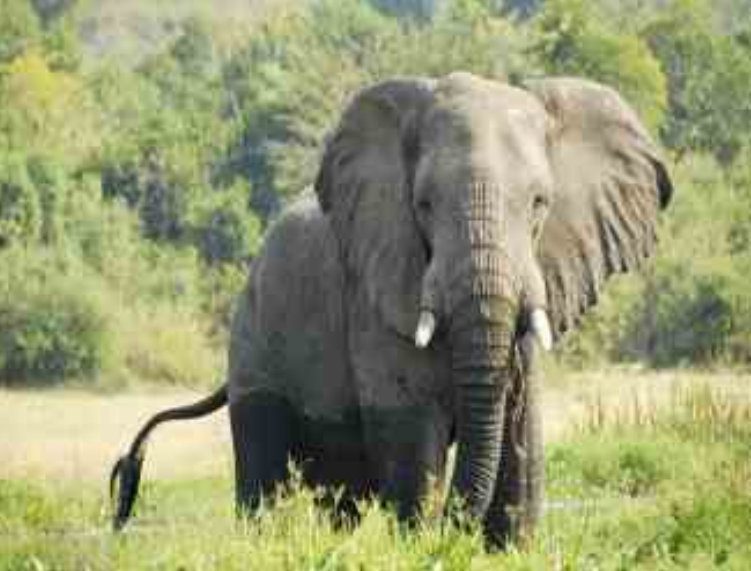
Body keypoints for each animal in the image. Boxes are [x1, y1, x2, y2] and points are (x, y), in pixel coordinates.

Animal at [110, 72, 673, 545]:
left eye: (539, 203)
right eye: (422, 204)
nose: (455, 529)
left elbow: (522, 439)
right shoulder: (376, 293)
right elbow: (411, 434)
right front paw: (425, 545)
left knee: (341, 497)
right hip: (253, 340)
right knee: (264, 475)